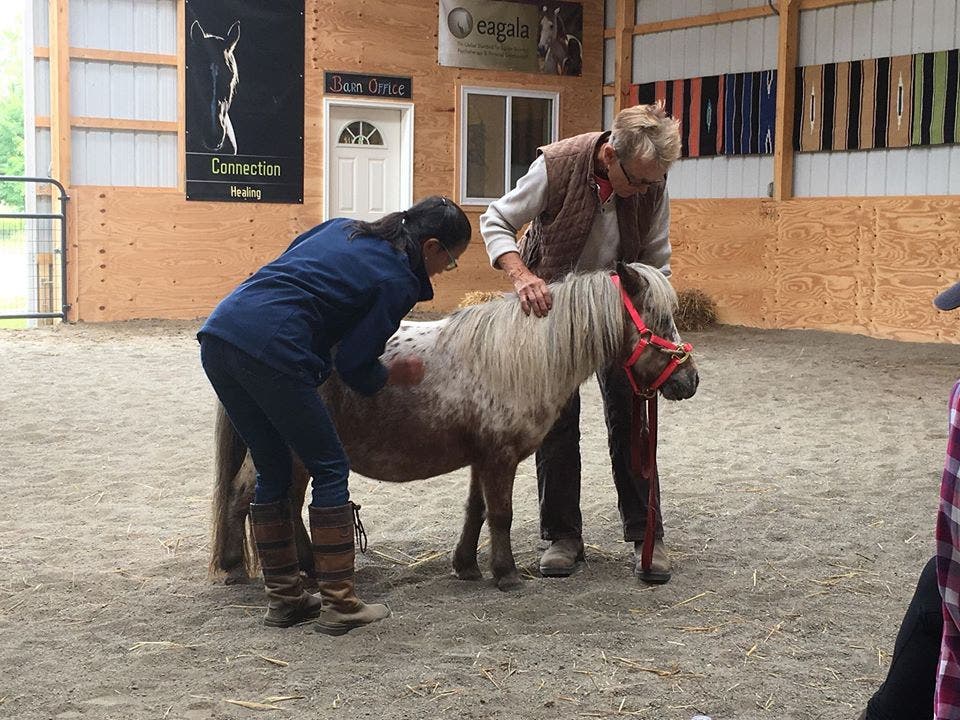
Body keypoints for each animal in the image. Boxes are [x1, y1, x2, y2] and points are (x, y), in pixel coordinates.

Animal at [208, 262, 696, 592]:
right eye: (657, 319)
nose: (689, 380)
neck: (522, 356)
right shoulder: (500, 458)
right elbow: (500, 514)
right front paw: (506, 574)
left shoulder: (482, 458)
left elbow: (475, 510)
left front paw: (466, 565)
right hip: (289, 450)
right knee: (247, 496)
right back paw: (236, 567)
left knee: (283, 505)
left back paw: (305, 568)